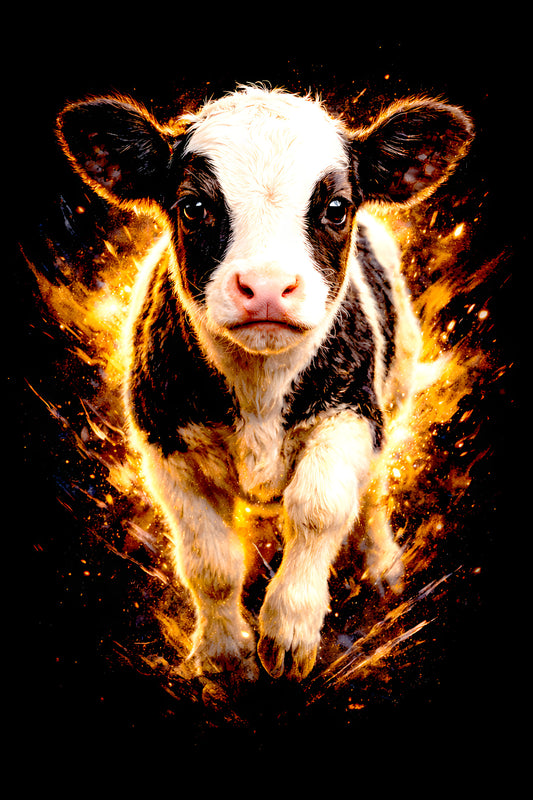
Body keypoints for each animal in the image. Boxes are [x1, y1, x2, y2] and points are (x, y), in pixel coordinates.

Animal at [56, 84, 473, 682]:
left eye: (336, 208)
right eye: (194, 206)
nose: (269, 286)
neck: (259, 391)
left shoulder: (351, 414)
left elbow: (320, 507)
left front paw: (289, 630)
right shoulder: (164, 447)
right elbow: (211, 562)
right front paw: (224, 652)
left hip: (395, 387)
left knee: (371, 492)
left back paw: (382, 567)